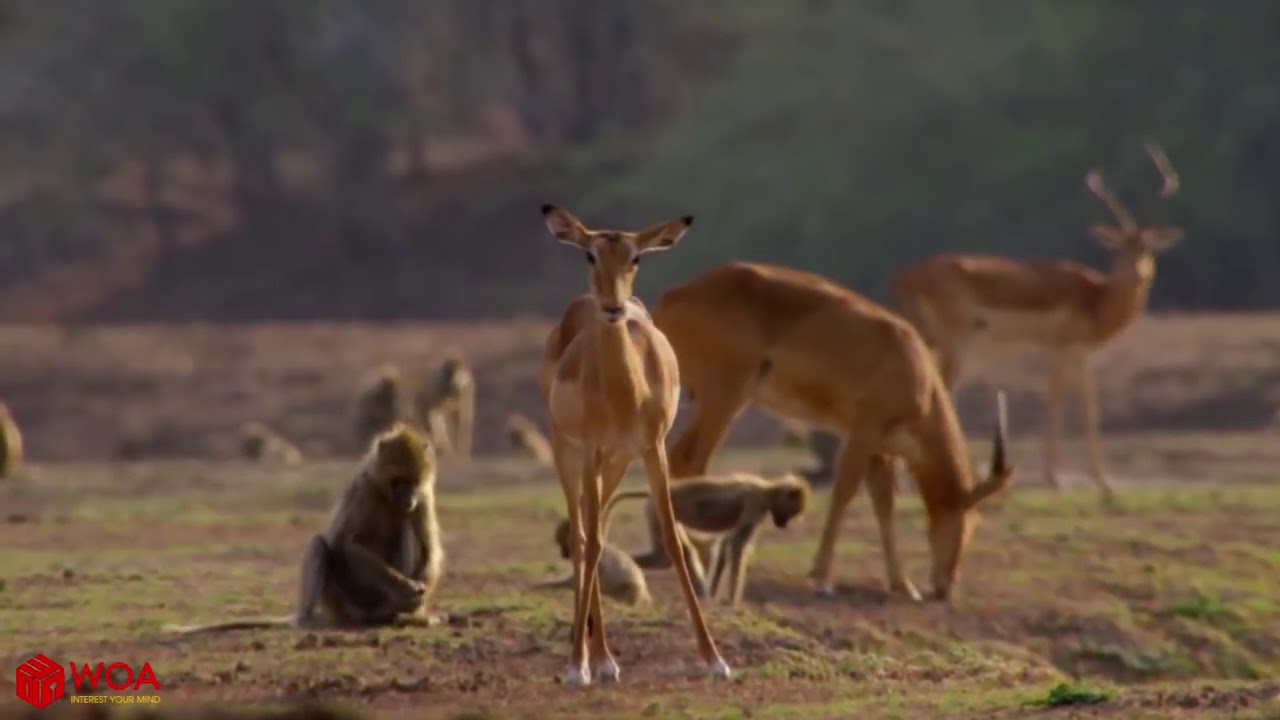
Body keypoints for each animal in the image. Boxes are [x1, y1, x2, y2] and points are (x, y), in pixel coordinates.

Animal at [536, 205, 731, 687]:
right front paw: (578, 668)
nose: (613, 308)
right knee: (583, 536)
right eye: (589, 254)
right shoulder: (589, 451)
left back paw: (600, 653)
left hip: (617, 463)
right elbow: (588, 544)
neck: (626, 392)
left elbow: (675, 542)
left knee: (596, 534)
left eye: (636, 257)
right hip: (569, 454)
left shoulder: (651, 448)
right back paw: (590, 654)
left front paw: (715, 659)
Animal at [645, 261, 1014, 602]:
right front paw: (822, 578)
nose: (944, 587)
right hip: (725, 398)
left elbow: (884, 502)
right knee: (688, 459)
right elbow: (844, 491)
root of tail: (672, 297)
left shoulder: (880, 448)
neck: (910, 360)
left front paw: (902, 585)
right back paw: (702, 556)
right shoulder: (863, 431)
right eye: (969, 519)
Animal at [891, 140, 1182, 504]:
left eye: (1146, 249)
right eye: (1120, 250)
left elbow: (1089, 407)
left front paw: (1103, 483)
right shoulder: (1060, 350)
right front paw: (1054, 479)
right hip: (955, 347)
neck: (1095, 297)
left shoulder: (1082, 356)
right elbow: (1055, 400)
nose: (1139, 275)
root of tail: (904, 277)